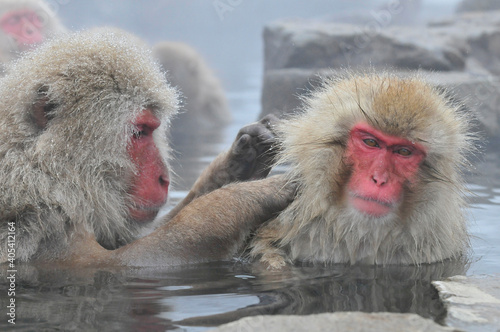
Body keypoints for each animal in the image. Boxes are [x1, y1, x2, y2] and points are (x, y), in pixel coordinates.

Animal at [0, 28, 296, 268]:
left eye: (151, 129)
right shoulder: (41, 221)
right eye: (139, 133)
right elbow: (123, 263)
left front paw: (244, 159)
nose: (163, 179)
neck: (44, 172)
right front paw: (245, 196)